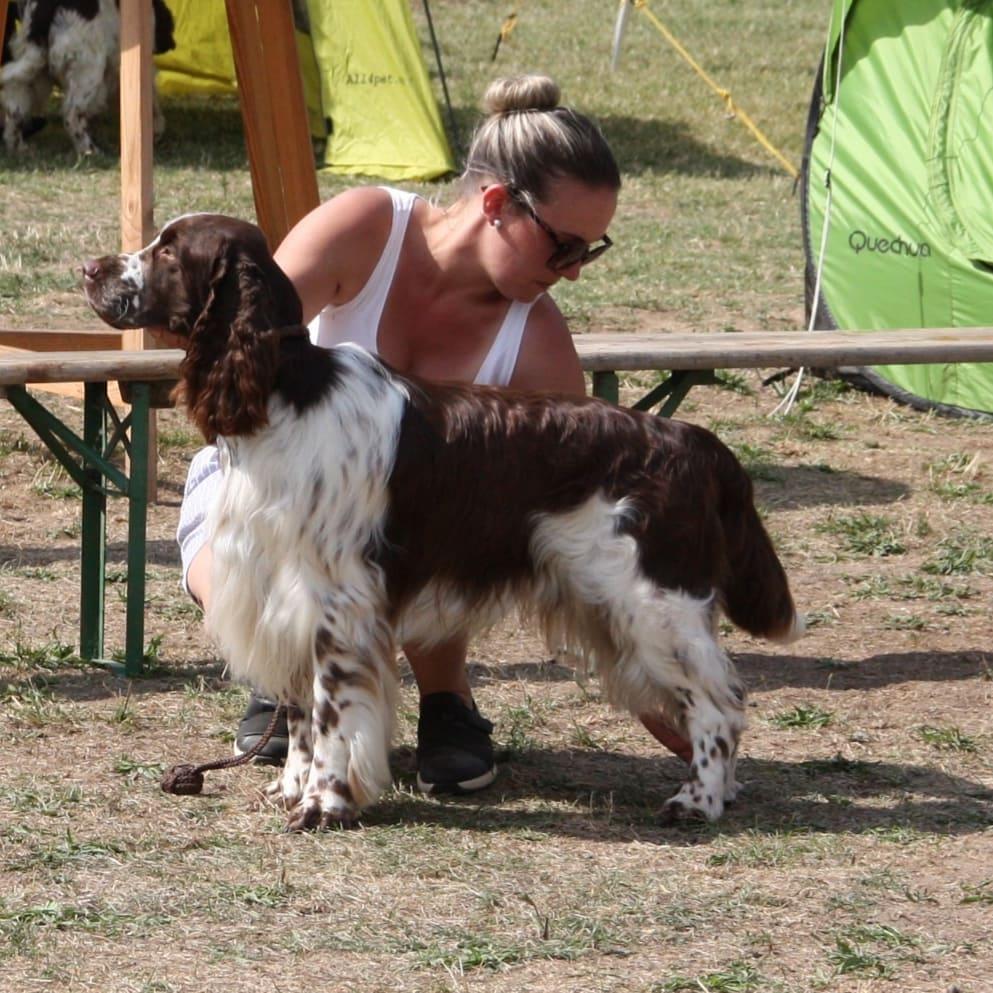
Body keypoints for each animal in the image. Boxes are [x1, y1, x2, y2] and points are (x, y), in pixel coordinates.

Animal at [81, 215, 804, 828]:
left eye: (170, 251)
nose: (89, 267)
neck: (287, 393)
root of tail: (689, 437)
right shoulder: (281, 592)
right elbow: (300, 714)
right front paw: (292, 785)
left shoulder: (336, 601)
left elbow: (330, 710)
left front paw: (324, 801)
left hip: (655, 605)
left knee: (720, 701)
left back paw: (698, 799)